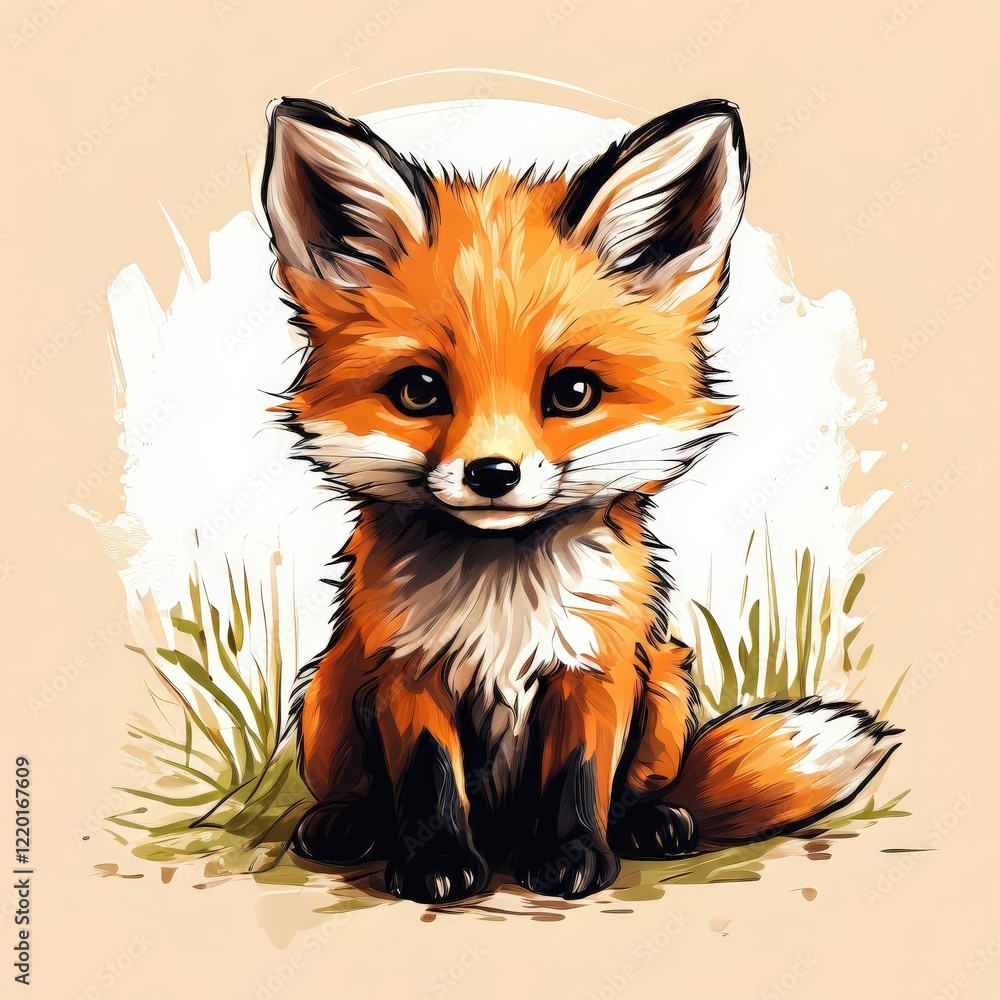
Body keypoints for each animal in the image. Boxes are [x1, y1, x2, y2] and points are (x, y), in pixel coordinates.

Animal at [259, 96, 901, 903]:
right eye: (420, 391)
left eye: (572, 392)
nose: (492, 474)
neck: (502, 604)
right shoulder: (408, 670)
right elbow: (429, 779)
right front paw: (436, 862)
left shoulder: (595, 668)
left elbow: (580, 776)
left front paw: (571, 859)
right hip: (330, 691)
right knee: (358, 791)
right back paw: (348, 823)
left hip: (666, 682)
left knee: (650, 786)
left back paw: (651, 821)